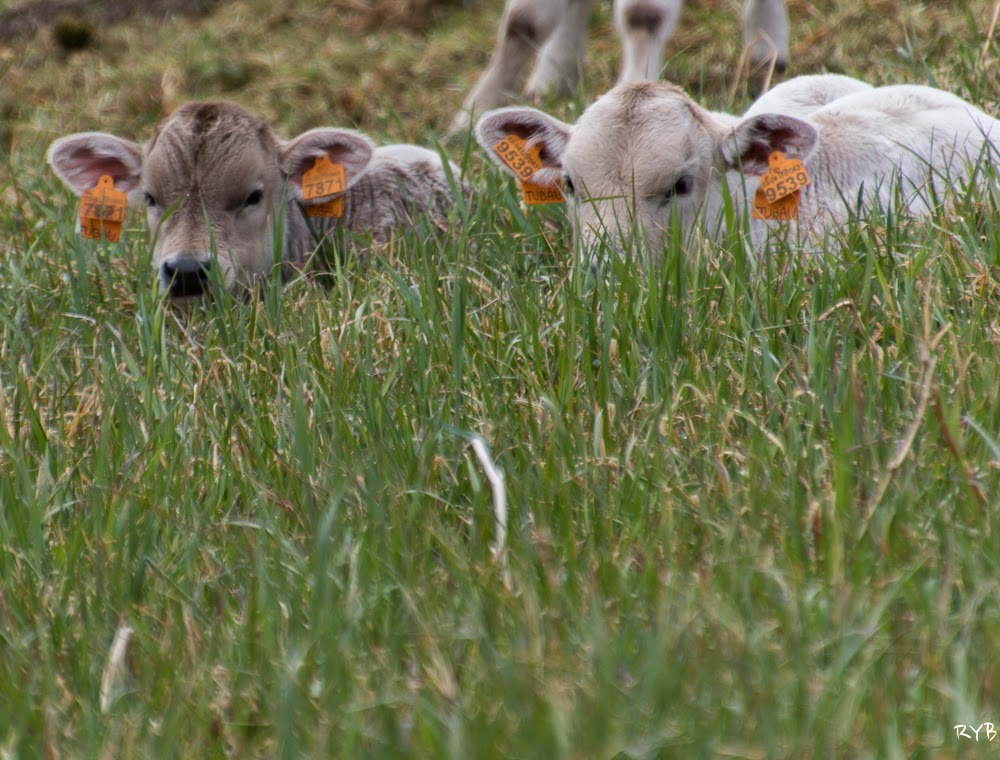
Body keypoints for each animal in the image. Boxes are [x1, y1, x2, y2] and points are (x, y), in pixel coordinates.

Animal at [450, 0, 789, 134]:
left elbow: (643, 14)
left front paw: (636, 86)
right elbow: (522, 20)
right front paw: (474, 111)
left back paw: (766, 45)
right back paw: (554, 75)